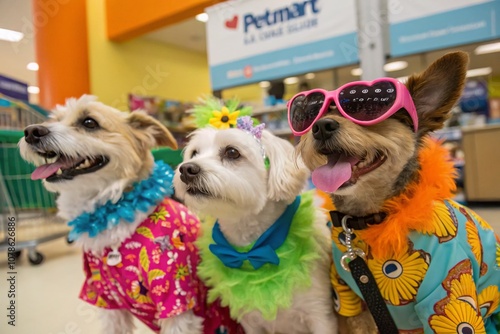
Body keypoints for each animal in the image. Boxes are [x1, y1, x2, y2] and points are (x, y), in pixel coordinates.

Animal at [20, 94, 243, 334]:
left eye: (89, 122)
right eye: (54, 119)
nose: (31, 131)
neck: (117, 212)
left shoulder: (176, 302)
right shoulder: (107, 301)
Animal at [173, 126, 340, 334]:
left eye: (232, 152)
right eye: (194, 153)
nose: (186, 169)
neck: (252, 250)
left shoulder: (320, 315)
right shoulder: (250, 322)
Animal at [288, 51, 500, 332]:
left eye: (366, 110)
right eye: (309, 114)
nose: (321, 126)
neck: (367, 220)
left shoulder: (446, 295)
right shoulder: (351, 300)